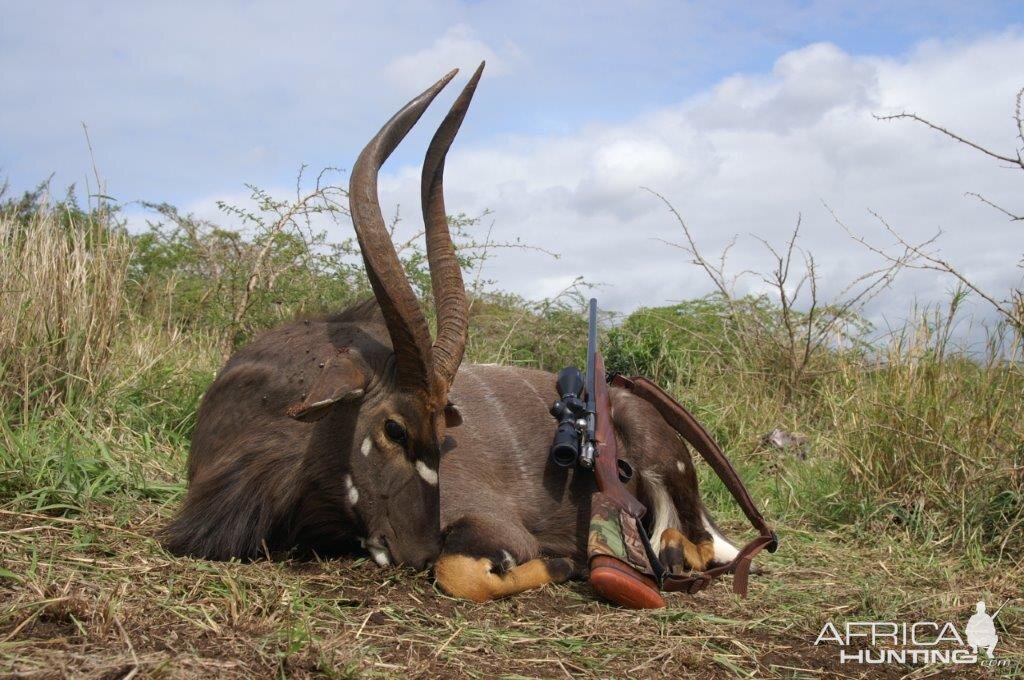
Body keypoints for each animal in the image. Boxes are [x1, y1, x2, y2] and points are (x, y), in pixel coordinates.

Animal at [161, 63, 737, 602]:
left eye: (441, 431)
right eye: (395, 429)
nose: (419, 547)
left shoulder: (492, 526)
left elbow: (461, 571)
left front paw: (562, 562)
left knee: (699, 543)